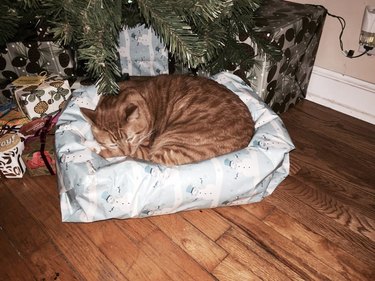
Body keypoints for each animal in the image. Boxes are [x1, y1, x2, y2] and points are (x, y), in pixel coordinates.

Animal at [79, 74, 256, 166]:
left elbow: (115, 152)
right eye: (113, 142)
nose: (128, 149)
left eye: (131, 138)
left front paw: (92, 146)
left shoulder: (143, 149)